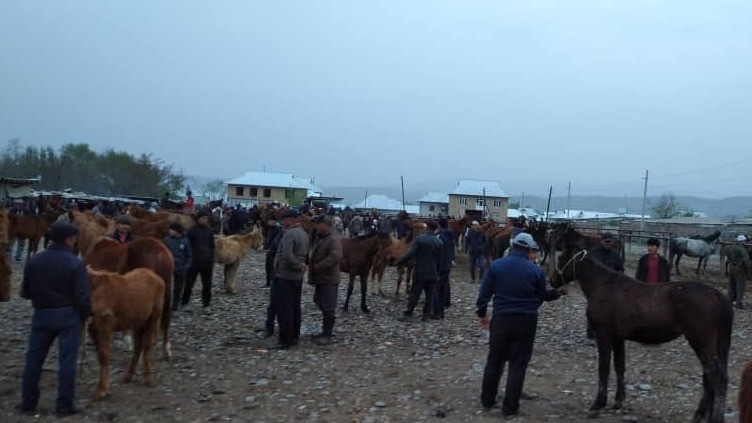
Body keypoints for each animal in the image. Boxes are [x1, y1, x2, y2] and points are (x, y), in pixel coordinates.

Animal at [551, 226, 732, 423]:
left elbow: (604, 368)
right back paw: (701, 415)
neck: (604, 286)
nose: (552, 281)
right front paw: (618, 401)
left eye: (561, 258)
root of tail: (715, 294)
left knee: (714, 374)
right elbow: (619, 366)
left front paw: (598, 404)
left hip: (700, 341)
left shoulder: (604, 336)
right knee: (712, 375)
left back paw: (711, 416)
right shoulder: (618, 338)